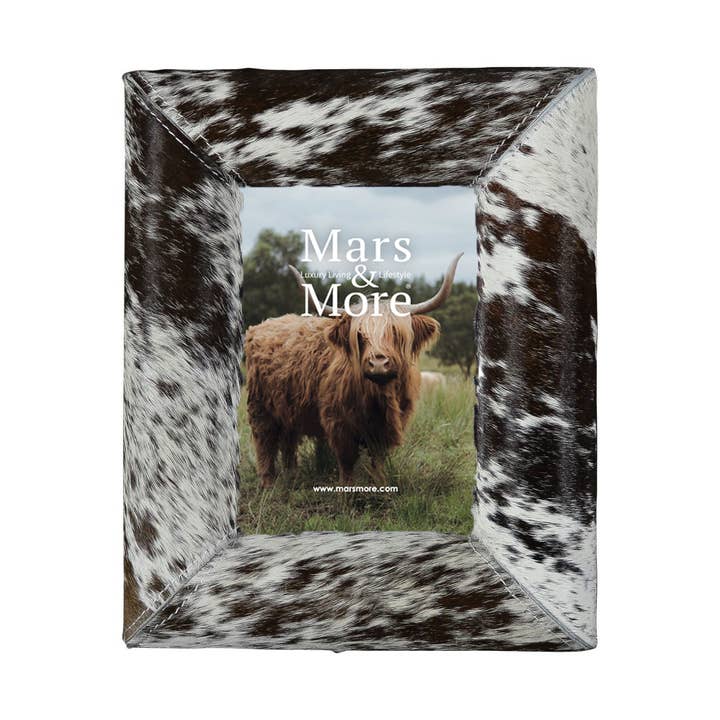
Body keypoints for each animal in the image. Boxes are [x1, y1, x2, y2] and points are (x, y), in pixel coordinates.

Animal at [244, 254, 462, 487]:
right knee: (264, 444)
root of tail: (263, 324)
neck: (379, 397)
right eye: (360, 335)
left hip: (287, 409)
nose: (378, 364)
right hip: (260, 408)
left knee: (288, 442)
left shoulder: (386, 428)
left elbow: (378, 461)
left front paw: (380, 485)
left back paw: (292, 477)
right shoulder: (339, 424)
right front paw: (348, 491)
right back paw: (268, 484)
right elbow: (347, 462)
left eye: (395, 332)